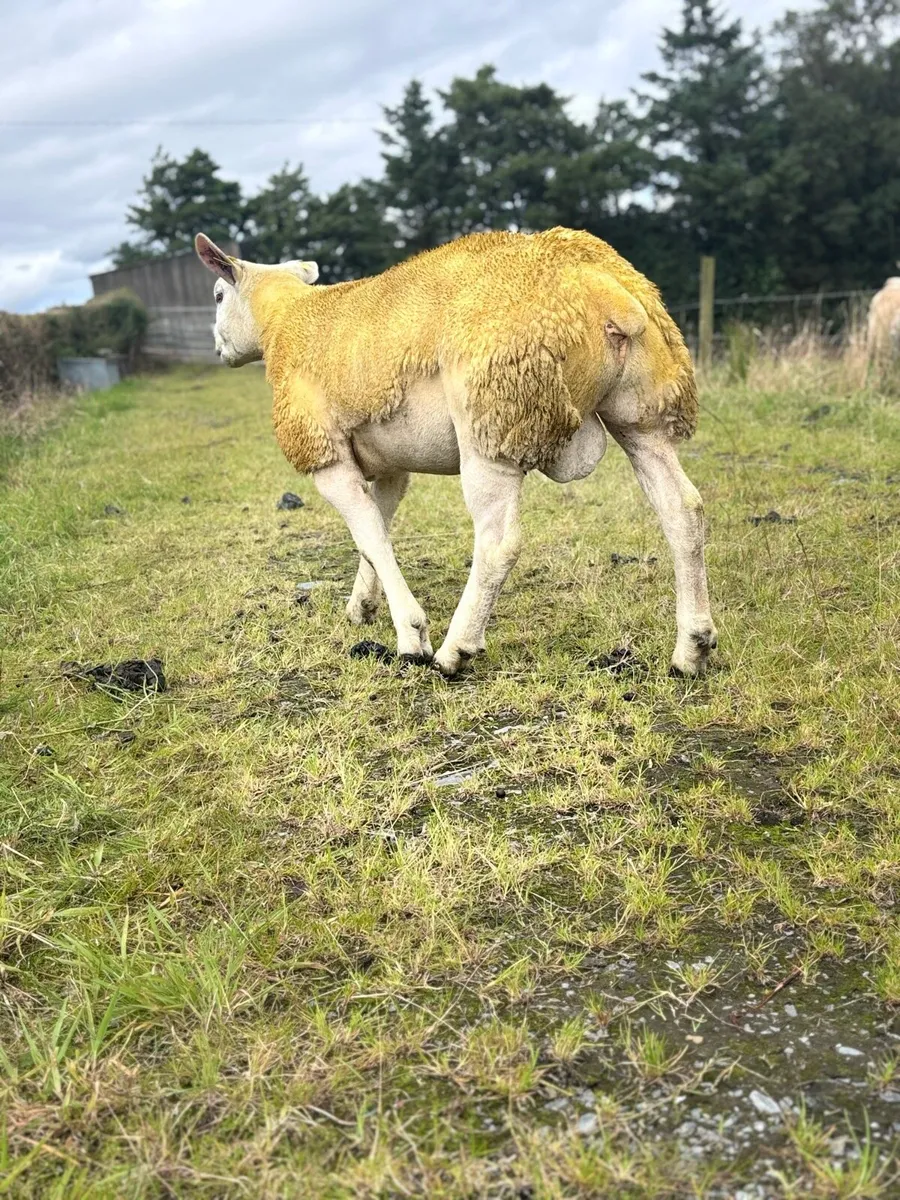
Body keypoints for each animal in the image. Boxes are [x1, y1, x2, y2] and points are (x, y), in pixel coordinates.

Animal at [195, 227, 716, 677]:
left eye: (218, 296)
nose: (216, 347)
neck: (286, 323)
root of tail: (606, 289)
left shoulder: (325, 456)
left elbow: (373, 538)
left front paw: (411, 636)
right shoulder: (391, 466)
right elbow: (374, 532)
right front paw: (362, 606)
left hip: (492, 420)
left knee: (498, 543)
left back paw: (455, 650)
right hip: (641, 414)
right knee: (683, 511)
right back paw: (691, 648)